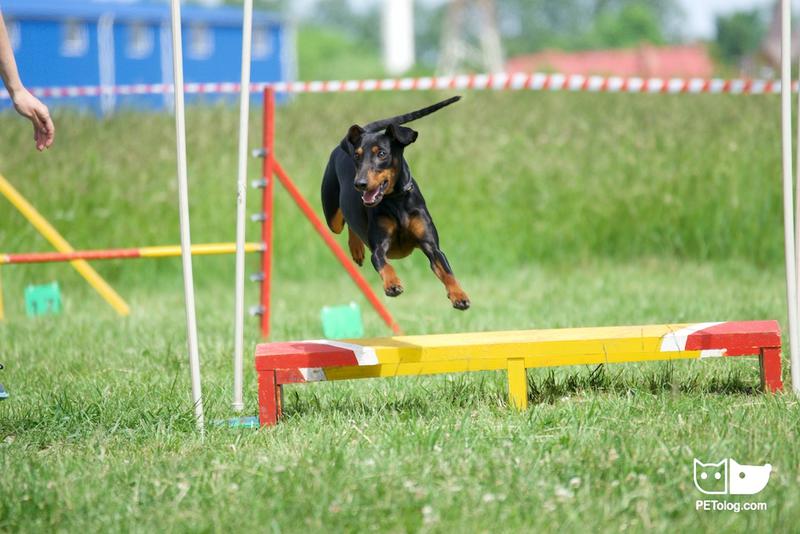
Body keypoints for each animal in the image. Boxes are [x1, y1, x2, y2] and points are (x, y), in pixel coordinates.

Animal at [320, 98, 468, 312]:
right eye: (357, 156)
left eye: (382, 153)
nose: (359, 184)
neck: (396, 200)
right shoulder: (379, 247)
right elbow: (384, 264)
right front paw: (392, 284)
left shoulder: (431, 246)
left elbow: (447, 270)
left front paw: (459, 295)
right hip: (332, 217)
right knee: (346, 221)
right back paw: (356, 248)